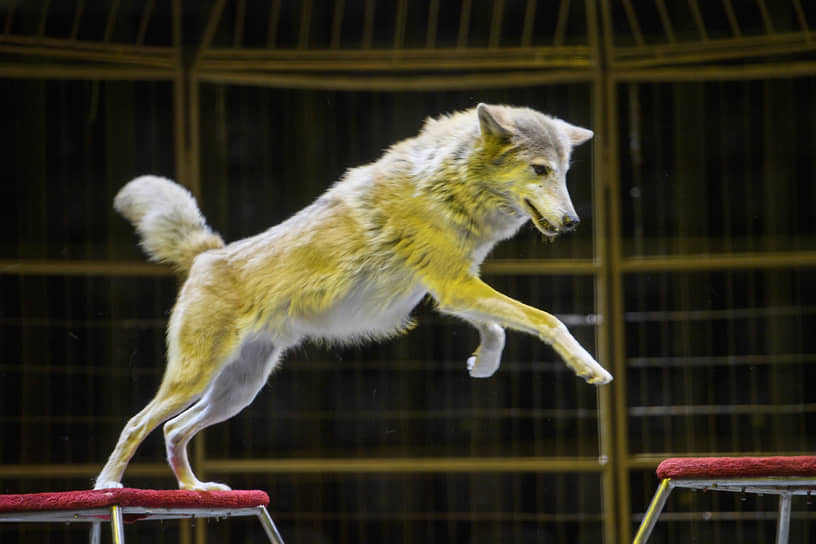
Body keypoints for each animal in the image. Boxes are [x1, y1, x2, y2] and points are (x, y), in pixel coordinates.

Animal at [95, 104, 612, 490]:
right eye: (540, 170)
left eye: (564, 173)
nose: (573, 223)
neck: (447, 183)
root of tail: (209, 253)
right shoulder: (455, 285)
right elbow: (546, 320)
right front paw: (590, 368)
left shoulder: (452, 288)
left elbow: (498, 328)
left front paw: (483, 364)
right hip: (195, 380)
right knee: (138, 424)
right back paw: (108, 487)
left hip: (236, 392)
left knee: (172, 430)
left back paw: (197, 490)